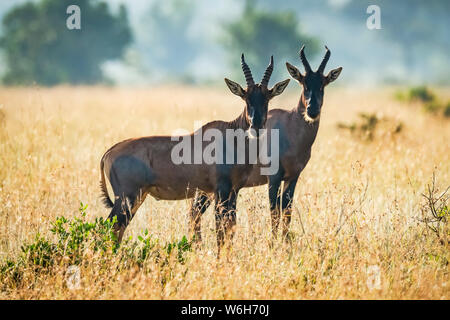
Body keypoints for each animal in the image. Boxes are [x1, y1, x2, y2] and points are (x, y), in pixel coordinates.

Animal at [100, 54, 290, 250]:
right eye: (245, 97)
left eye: (267, 98)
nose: (256, 127)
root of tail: (109, 153)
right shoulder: (220, 190)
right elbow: (220, 231)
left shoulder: (233, 191)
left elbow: (230, 229)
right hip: (127, 198)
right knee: (109, 227)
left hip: (137, 198)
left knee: (117, 229)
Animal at [189, 46, 342, 242]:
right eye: (304, 84)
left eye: (322, 84)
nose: (312, 111)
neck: (289, 126)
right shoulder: (273, 178)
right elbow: (274, 212)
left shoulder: (293, 177)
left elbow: (287, 211)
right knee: (195, 211)